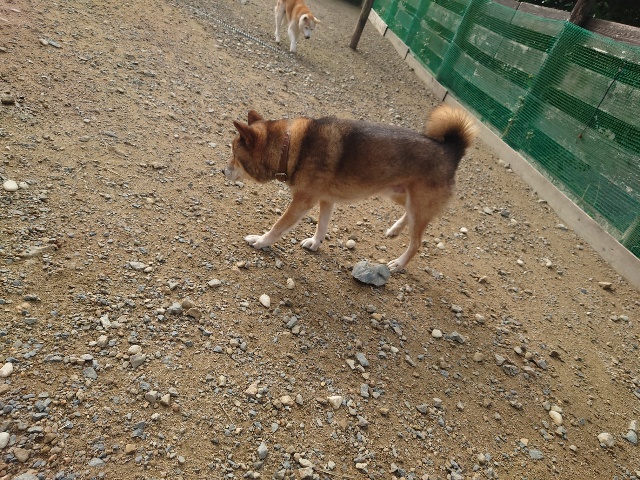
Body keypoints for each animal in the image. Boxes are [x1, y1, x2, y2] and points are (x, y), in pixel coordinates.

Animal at [224, 105, 477, 272]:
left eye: (235, 155)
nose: (223, 171)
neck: (291, 146)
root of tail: (453, 150)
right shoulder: (326, 199)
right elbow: (322, 226)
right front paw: (315, 244)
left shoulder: (303, 201)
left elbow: (278, 226)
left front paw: (260, 241)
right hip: (400, 194)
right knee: (409, 215)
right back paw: (394, 230)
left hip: (418, 203)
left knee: (416, 243)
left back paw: (398, 263)